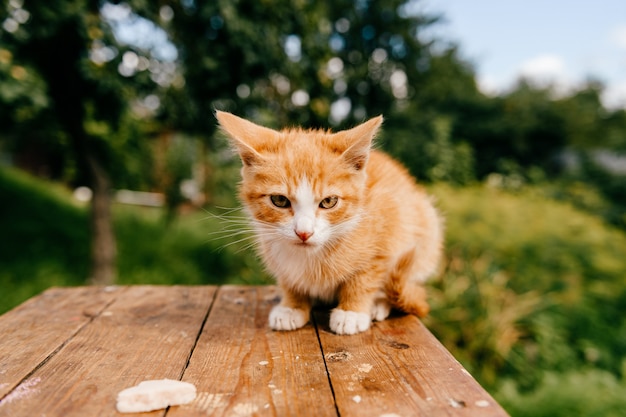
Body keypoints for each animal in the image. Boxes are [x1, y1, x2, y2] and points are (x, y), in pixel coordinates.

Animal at [217, 111, 442, 334]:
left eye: (329, 201)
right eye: (279, 200)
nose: (304, 232)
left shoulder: (389, 224)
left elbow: (367, 274)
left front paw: (352, 311)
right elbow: (288, 277)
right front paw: (292, 306)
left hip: (426, 226)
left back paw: (378, 304)